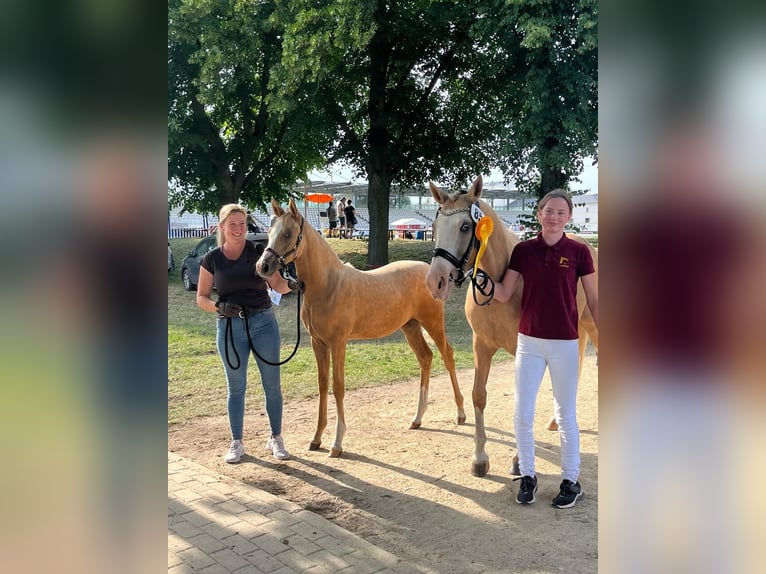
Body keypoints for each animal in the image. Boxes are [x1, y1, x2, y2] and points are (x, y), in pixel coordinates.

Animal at [255, 198, 466, 457]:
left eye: (287, 233)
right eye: (269, 232)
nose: (262, 266)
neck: (327, 285)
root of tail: (431, 273)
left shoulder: (338, 343)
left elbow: (338, 386)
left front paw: (337, 443)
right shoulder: (318, 343)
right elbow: (323, 384)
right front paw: (316, 439)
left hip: (433, 323)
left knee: (447, 355)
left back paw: (460, 414)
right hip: (411, 327)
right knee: (426, 358)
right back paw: (417, 419)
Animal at [425, 176, 599, 477]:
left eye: (465, 226)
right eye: (435, 227)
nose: (436, 281)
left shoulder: (524, 349)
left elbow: (523, 401)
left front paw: (519, 460)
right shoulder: (481, 346)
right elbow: (479, 395)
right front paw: (480, 458)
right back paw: (555, 421)